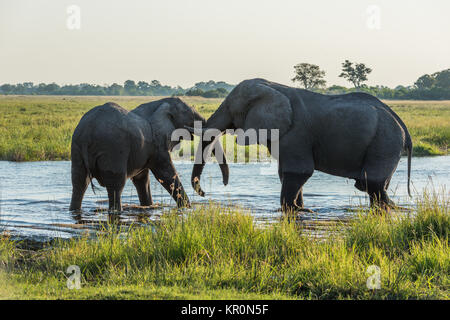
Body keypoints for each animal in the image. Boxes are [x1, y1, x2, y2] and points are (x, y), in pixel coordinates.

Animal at [69, 98, 229, 212]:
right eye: (191, 116)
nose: (204, 194)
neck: (161, 102)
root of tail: (88, 130)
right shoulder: (158, 143)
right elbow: (166, 174)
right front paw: (187, 208)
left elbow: (142, 180)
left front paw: (148, 207)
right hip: (112, 148)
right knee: (116, 185)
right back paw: (116, 211)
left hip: (76, 147)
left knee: (79, 182)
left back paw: (74, 210)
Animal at [188, 77, 414, 212]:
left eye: (232, 109)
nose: (204, 193)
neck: (271, 86)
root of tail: (403, 127)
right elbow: (287, 173)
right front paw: (298, 209)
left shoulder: (296, 132)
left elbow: (298, 171)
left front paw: (295, 210)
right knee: (373, 186)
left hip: (385, 141)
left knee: (371, 183)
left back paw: (396, 209)